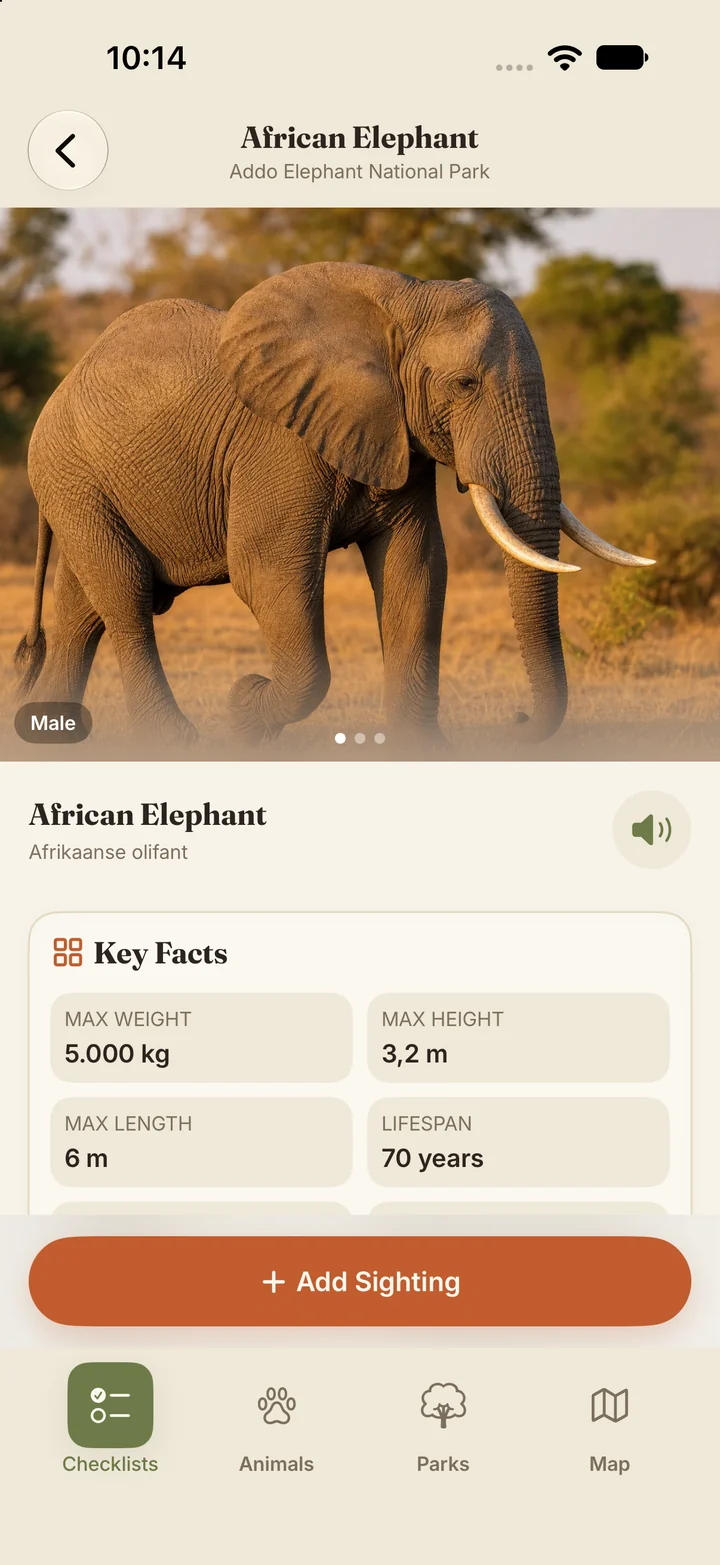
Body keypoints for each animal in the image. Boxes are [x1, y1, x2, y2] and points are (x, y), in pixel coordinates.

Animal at [15, 260, 653, 745]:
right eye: (465, 384)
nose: (515, 719)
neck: (402, 302)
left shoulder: (398, 433)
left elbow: (416, 569)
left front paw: (423, 753)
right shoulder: (279, 444)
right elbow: (267, 573)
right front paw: (245, 706)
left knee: (83, 612)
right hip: (70, 475)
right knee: (125, 594)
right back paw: (175, 743)